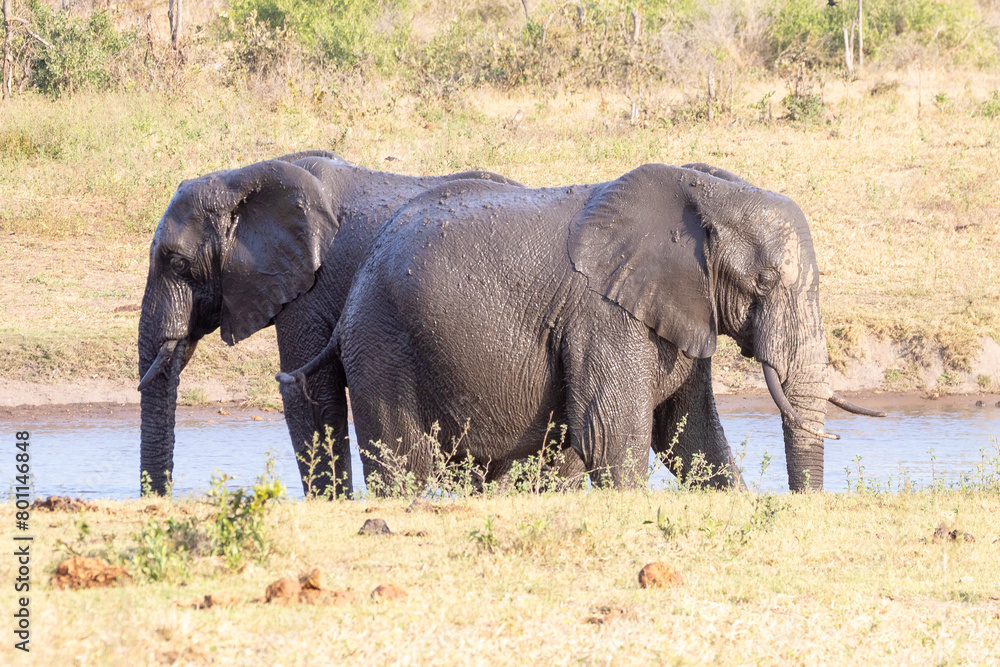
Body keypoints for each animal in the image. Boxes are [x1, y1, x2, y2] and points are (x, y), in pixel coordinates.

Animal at [287, 162, 884, 492]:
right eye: (763, 281)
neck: (706, 192)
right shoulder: (604, 316)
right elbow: (610, 437)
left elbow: (689, 434)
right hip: (382, 344)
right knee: (402, 462)